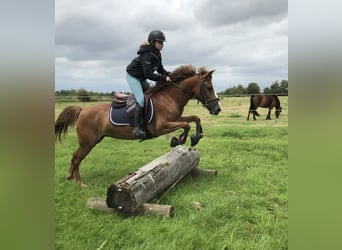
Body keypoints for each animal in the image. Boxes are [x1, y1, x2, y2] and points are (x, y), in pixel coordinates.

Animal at [54, 65, 222, 187]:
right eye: (208, 87)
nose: (217, 109)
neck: (169, 98)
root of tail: (82, 110)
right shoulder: (162, 127)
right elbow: (186, 124)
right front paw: (179, 140)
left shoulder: (175, 119)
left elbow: (194, 118)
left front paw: (196, 136)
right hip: (88, 142)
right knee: (77, 158)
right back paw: (80, 183)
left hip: (92, 141)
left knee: (74, 155)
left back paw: (69, 176)